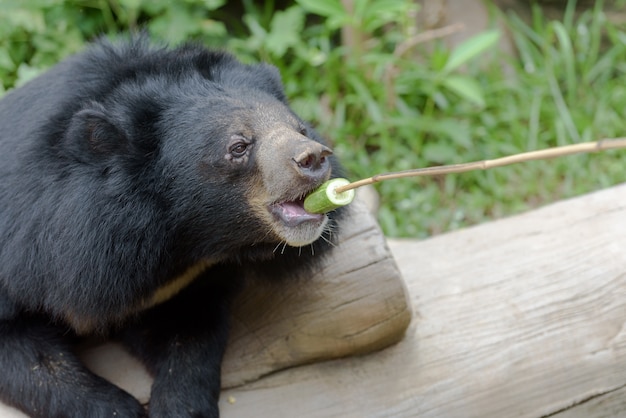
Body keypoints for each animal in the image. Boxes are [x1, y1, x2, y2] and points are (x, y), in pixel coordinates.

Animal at [0, 36, 344, 418]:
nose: (314, 158)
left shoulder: (179, 282)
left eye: (300, 129)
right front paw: (120, 409)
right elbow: (34, 360)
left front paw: (182, 406)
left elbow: (188, 333)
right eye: (239, 146)